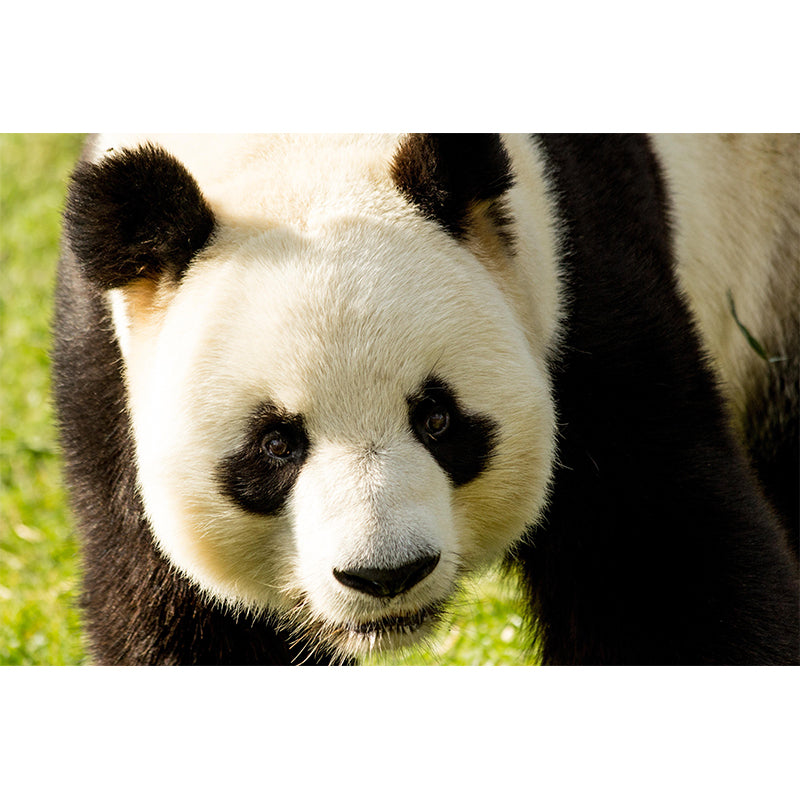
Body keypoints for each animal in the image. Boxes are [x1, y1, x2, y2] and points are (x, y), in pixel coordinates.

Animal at [53, 133, 799, 665]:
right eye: (276, 444)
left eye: (438, 419)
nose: (387, 576)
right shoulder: (109, 383)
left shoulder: (583, 291)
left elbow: (661, 560)